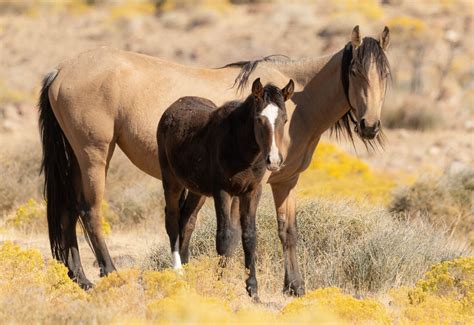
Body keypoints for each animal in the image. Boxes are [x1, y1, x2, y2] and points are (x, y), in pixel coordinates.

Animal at [39, 25, 388, 294]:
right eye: (354, 71)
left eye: (386, 75)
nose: (369, 126)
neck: (297, 101)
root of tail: (60, 70)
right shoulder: (244, 186)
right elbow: (232, 234)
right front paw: (229, 281)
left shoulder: (285, 181)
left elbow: (288, 231)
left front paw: (295, 288)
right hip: (95, 155)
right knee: (90, 211)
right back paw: (110, 273)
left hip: (76, 158)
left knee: (68, 211)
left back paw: (79, 278)